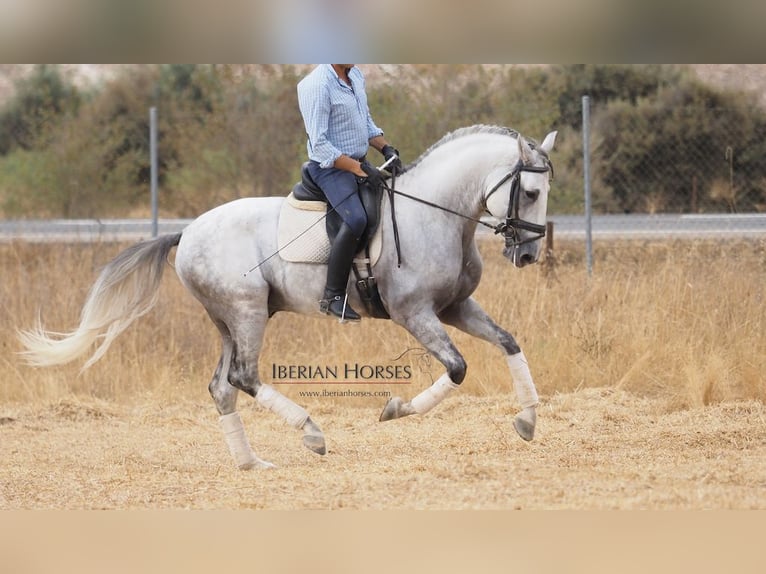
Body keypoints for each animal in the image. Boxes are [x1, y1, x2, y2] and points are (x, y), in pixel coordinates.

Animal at [19, 126, 560, 472]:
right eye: (531, 192)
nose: (529, 254)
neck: (436, 214)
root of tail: (187, 232)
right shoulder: (416, 314)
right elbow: (457, 369)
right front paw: (394, 409)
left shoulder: (455, 307)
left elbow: (509, 343)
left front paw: (528, 420)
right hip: (247, 312)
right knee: (244, 377)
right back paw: (311, 433)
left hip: (230, 321)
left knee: (222, 387)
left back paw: (252, 464)